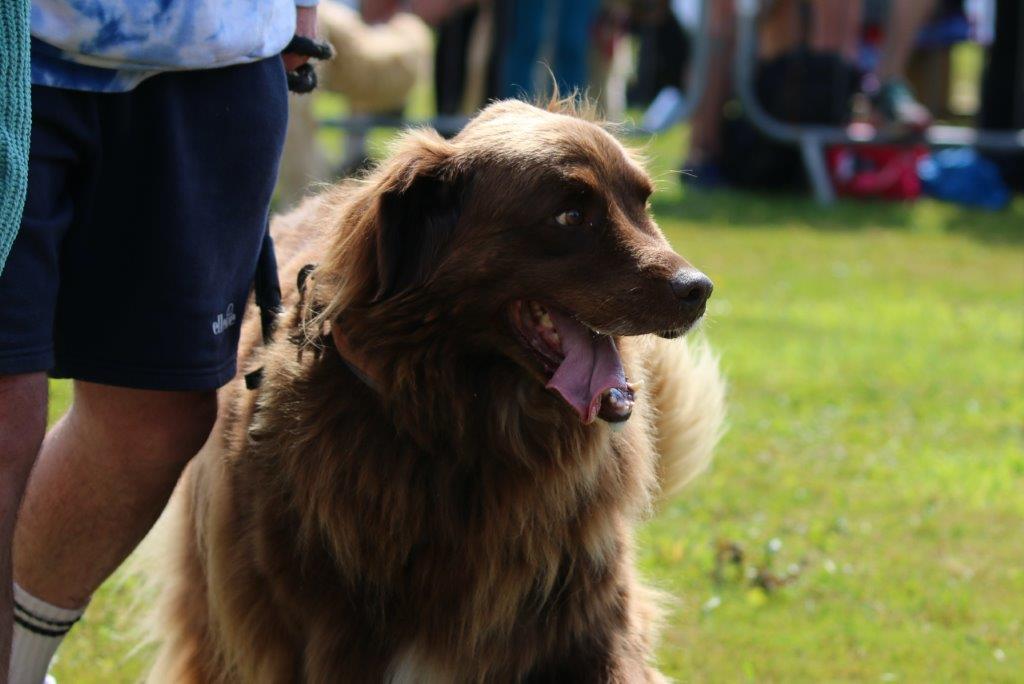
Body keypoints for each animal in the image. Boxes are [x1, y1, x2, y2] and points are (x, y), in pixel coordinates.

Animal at [148, 99, 725, 683]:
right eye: (570, 216)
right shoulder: (323, 642)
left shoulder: (584, 618)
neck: (464, 431)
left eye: (642, 203)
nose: (699, 290)